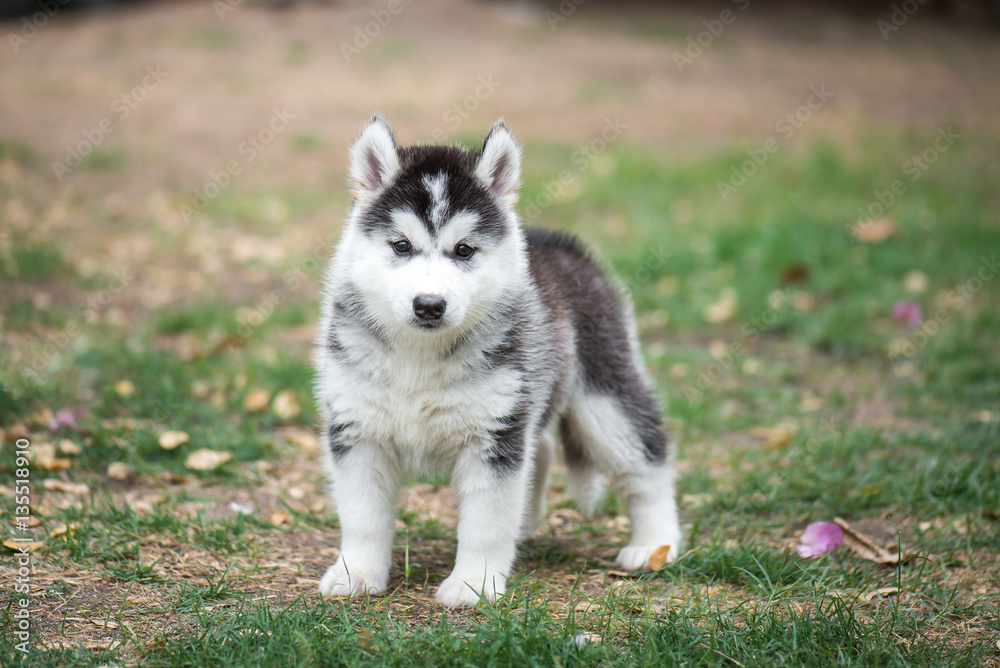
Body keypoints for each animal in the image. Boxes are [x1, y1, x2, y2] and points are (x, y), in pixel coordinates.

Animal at [316, 117, 684, 608]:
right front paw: (355, 573)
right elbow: (362, 518)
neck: (419, 356)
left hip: (604, 398)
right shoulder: (358, 430)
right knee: (541, 450)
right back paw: (527, 525)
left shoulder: (493, 437)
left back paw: (654, 545)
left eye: (464, 250)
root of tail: (557, 242)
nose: (429, 305)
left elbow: (485, 523)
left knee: (646, 462)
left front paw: (473, 583)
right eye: (401, 246)